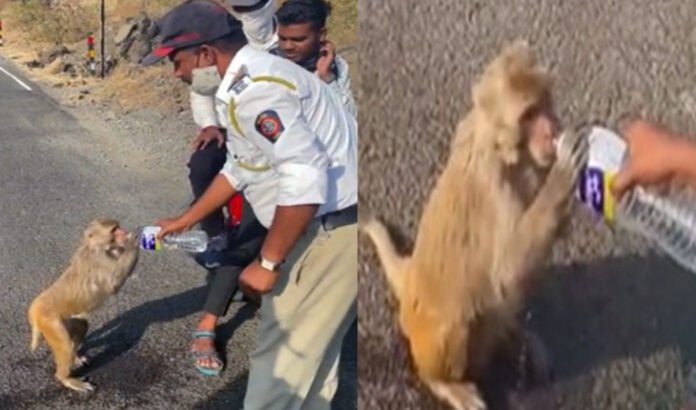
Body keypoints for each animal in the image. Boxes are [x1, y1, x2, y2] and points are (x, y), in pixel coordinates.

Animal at [27, 219, 139, 392]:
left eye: (118, 227)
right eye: (114, 230)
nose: (123, 232)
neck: (94, 245)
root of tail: (34, 308)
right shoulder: (100, 260)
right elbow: (114, 283)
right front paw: (133, 242)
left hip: (67, 318)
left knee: (81, 327)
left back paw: (75, 358)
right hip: (49, 322)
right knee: (66, 347)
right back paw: (66, 379)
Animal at [358, 39, 588, 410]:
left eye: (544, 104)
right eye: (529, 115)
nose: (552, 129)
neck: (503, 150)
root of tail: (409, 280)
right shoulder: (493, 185)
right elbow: (506, 270)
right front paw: (564, 174)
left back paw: (515, 340)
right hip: (428, 335)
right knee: (459, 318)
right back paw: (445, 383)